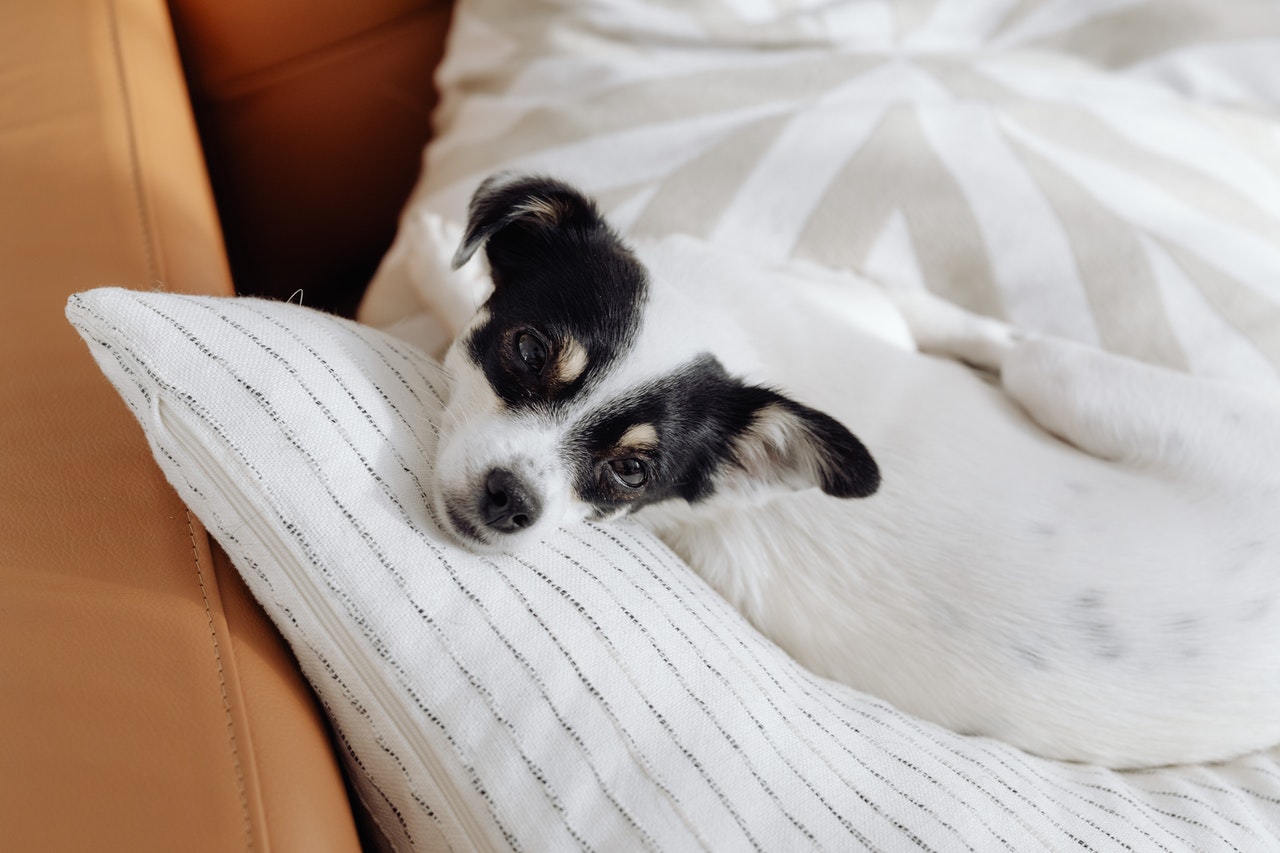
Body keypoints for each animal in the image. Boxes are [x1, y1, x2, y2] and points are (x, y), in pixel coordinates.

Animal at [412, 171, 1280, 763]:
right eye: (528, 350)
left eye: (632, 473)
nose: (511, 500)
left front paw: (432, 260)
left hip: (1073, 382)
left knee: (1018, 349)